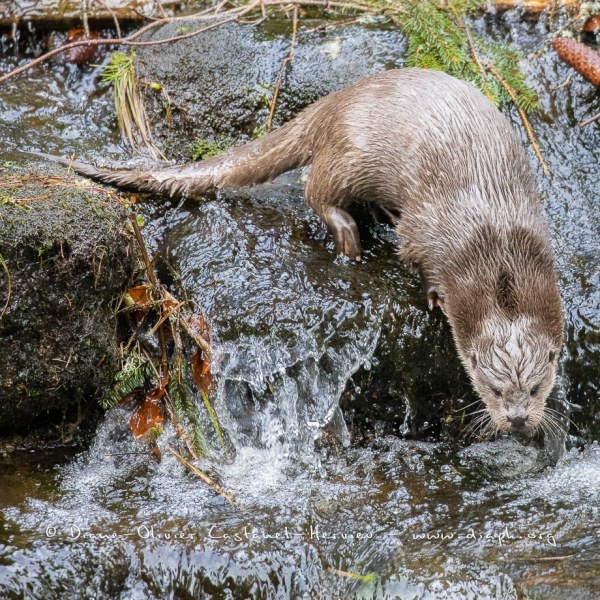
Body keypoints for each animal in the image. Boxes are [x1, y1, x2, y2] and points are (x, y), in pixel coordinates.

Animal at [37, 69, 564, 436]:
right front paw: (433, 296)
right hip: (352, 154)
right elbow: (417, 255)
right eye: (494, 389)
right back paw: (349, 237)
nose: (518, 419)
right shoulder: (428, 230)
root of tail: (336, 101)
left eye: (537, 387)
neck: (495, 244)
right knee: (316, 187)